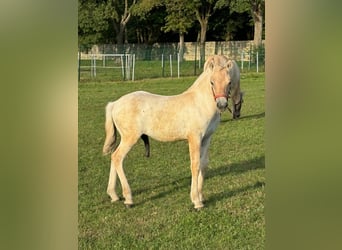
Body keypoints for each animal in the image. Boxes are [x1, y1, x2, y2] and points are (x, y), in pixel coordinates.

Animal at [103, 55, 242, 210]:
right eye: (211, 82)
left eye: (229, 82)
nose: (222, 104)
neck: (200, 103)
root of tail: (115, 104)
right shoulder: (194, 138)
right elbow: (195, 165)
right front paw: (196, 201)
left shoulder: (207, 138)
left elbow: (204, 165)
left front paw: (201, 196)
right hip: (130, 138)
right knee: (117, 158)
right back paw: (128, 198)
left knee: (113, 157)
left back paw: (114, 195)